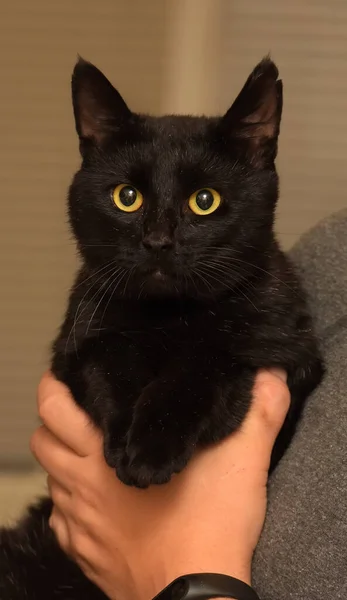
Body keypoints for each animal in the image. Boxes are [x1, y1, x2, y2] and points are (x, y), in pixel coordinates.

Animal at [0, 57, 324, 600]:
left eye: (205, 200)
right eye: (126, 197)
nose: (157, 241)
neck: (169, 317)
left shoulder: (285, 351)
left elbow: (203, 366)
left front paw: (151, 449)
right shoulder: (79, 342)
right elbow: (112, 368)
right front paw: (125, 443)